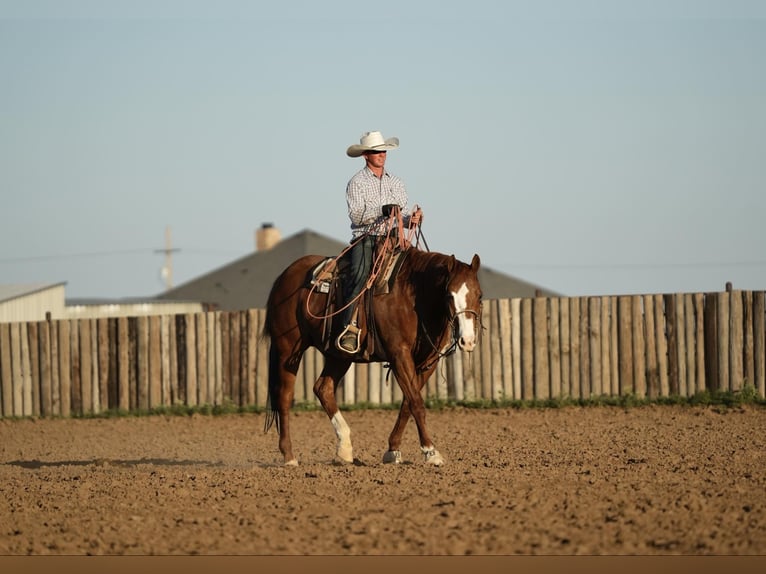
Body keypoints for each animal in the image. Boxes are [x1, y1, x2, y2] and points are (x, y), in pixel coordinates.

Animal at [260, 243, 484, 468]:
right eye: (449, 295)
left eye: (480, 295)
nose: (467, 341)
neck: (414, 296)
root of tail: (284, 276)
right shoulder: (399, 355)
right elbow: (417, 403)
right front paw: (431, 452)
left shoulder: (428, 362)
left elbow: (408, 403)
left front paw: (393, 450)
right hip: (288, 349)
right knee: (284, 396)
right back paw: (289, 456)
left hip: (339, 355)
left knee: (323, 388)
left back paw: (345, 448)